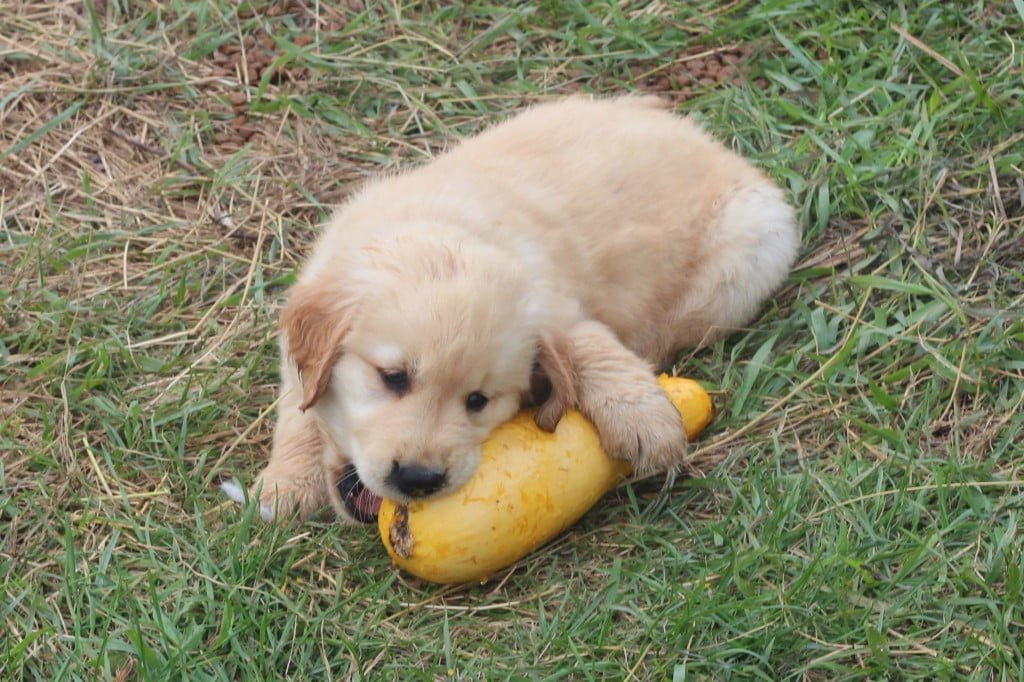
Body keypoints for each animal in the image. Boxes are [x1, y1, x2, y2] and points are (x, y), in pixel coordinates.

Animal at [230, 94, 798, 520]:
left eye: (478, 401)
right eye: (393, 378)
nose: (418, 478)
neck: (436, 224)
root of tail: (706, 139)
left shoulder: (558, 306)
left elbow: (589, 344)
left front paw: (644, 421)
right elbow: (297, 409)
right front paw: (286, 482)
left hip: (746, 256)